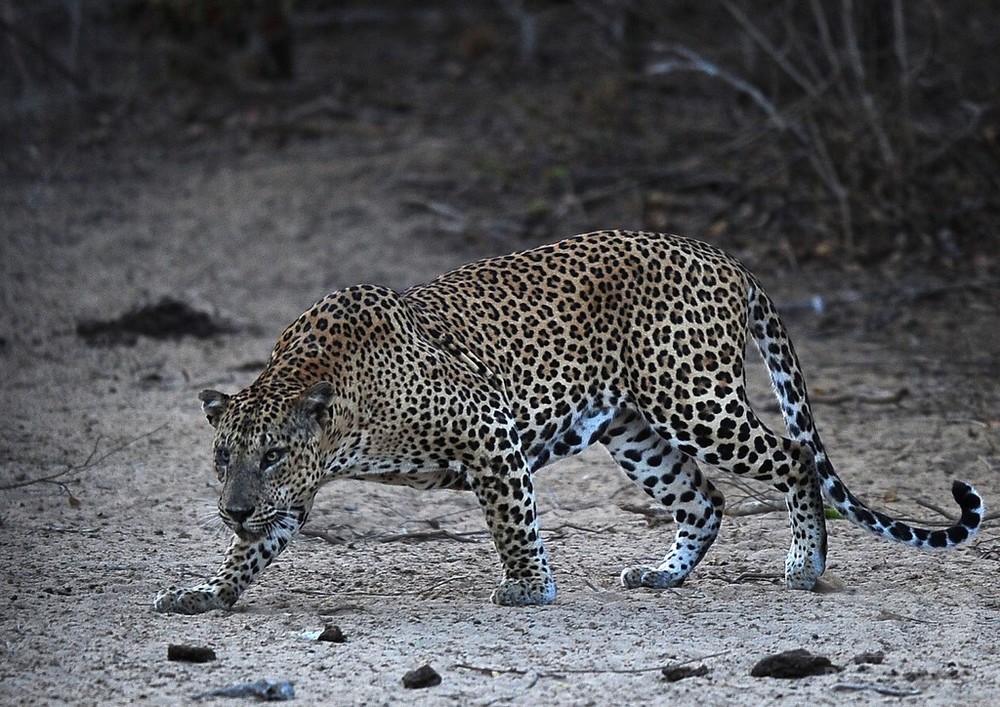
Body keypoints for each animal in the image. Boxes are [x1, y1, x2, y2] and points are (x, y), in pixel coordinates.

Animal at [154, 231, 984, 612]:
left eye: (271, 454)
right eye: (225, 458)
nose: (233, 506)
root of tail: (724, 257)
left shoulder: (489, 429)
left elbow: (511, 519)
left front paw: (527, 586)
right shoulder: (293, 499)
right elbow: (252, 553)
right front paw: (207, 592)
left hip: (696, 399)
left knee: (792, 457)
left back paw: (805, 564)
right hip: (634, 428)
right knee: (704, 498)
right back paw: (663, 573)